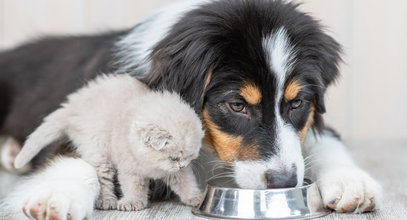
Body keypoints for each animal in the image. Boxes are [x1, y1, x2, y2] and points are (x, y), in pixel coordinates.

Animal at [14, 74, 206, 211]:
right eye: (174, 158)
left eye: (189, 158)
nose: (181, 165)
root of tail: (72, 107)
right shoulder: (130, 169)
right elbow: (133, 187)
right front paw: (133, 202)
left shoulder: (176, 173)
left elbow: (186, 183)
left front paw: (195, 198)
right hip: (97, 150)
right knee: (103, 178)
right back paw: (107, 201)